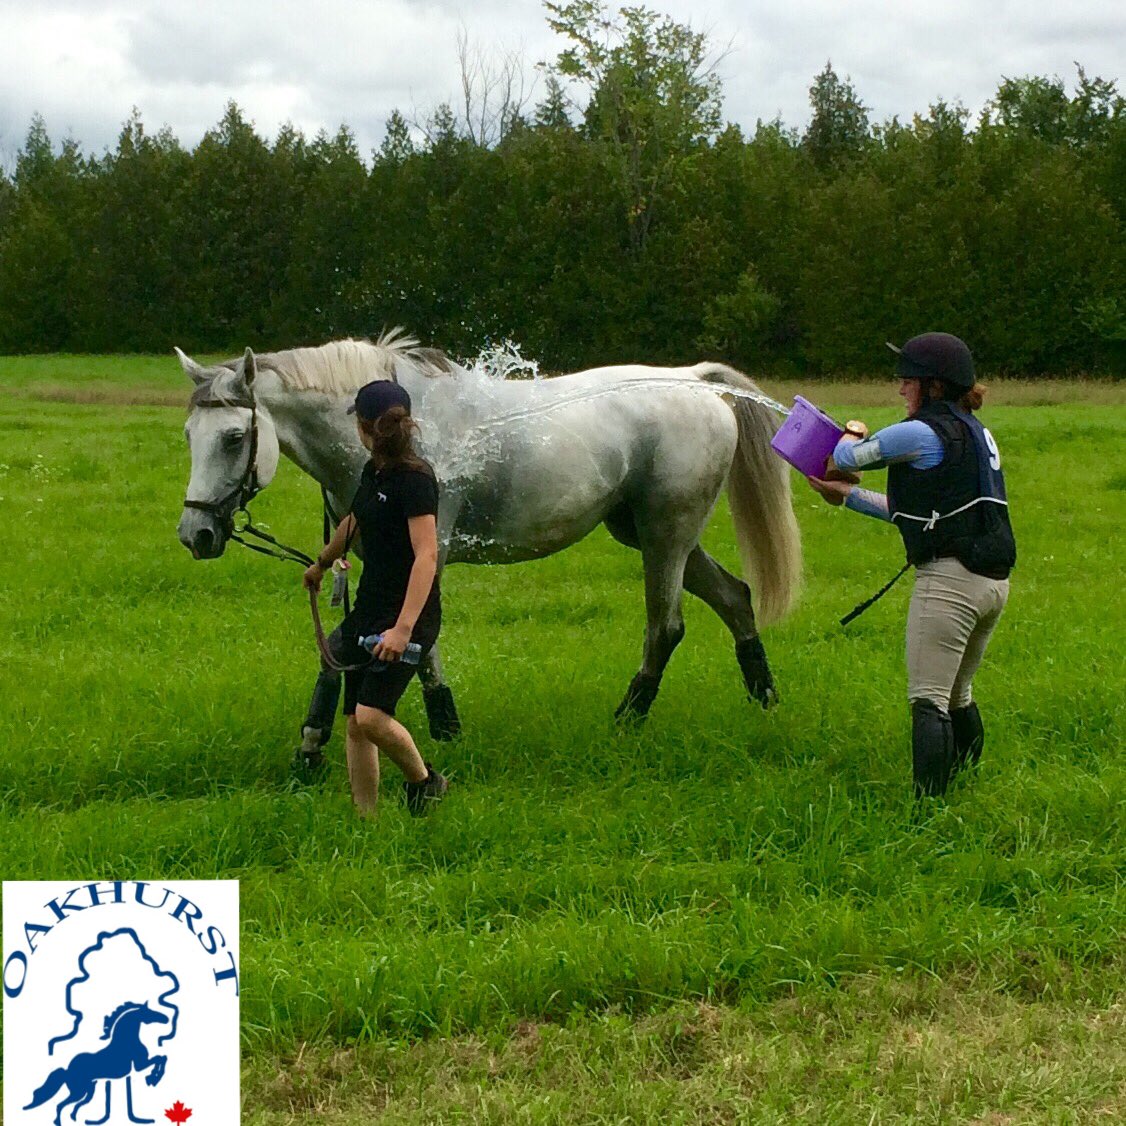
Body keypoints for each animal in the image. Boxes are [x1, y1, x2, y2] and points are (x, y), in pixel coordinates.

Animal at [25, 1001, 168, 1126]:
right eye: (149, 1012)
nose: (166, 1018)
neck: (126, 1042)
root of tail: (67, 1071)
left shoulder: (140, 1064)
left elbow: (162, 1057)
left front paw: (152, 1078)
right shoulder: (139, 1065)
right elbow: (160, 1058)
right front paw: (152, 1078)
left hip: (89, 1089)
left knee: (79, 1103)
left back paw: (74, 1117)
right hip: (78, 1091)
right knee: (61, 1104)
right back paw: (59, 1122)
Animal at [175, 332, 801, 756]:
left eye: (234, 437)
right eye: (188, 434)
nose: (195, 534)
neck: (396, 439)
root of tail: (694, 379)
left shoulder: (424, 557)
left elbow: (416, 643)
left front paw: (444, 728)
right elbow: (339, 646)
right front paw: (317, 737)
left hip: (664, 535)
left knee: (666, 627)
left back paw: (627, 718)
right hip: (652, 535)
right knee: (736, 598)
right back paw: (764, 701)